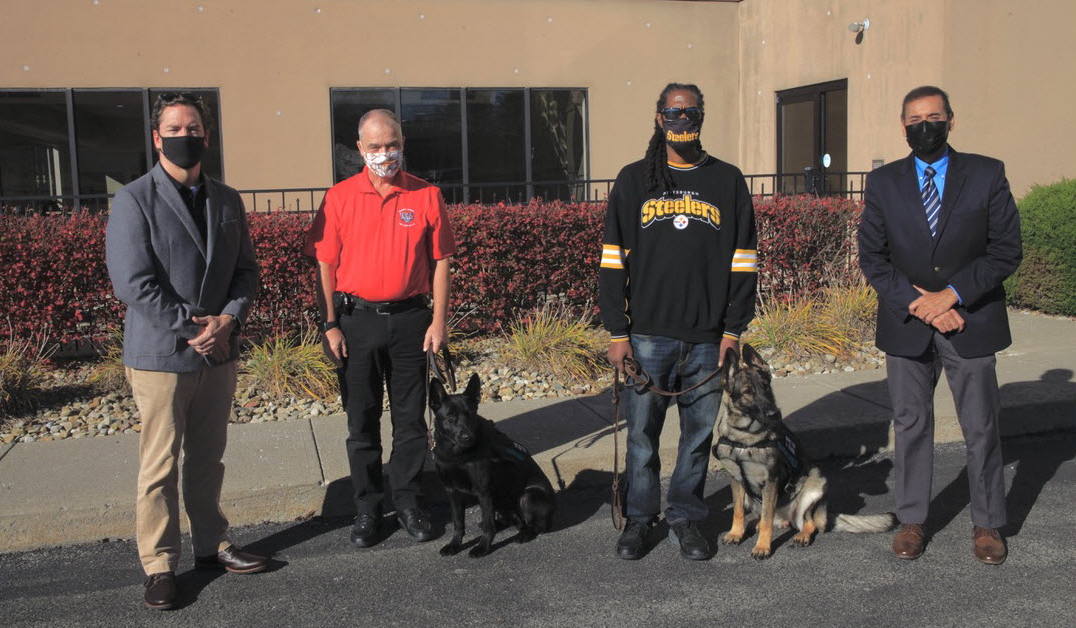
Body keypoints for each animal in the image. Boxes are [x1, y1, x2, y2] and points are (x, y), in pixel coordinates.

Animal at [423, 369, 555, 554]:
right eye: (450, 416)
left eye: (471, 414)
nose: (468, 437)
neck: (456, 454)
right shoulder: (452, 492)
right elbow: (458, 523)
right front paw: (455, 545)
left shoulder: (483, 491)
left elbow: (487, 524)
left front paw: (483, 547)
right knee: (508, 520)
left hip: (527, 496)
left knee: (535, 526)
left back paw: (523, 535)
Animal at [710, 344, 895, 559]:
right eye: (748, 391)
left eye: (766, 386)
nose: (775, 413)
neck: (745, 436)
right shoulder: (736, 480)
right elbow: (738, 511)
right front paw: (736, 533)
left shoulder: (771, 481)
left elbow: (767, 520)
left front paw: (762, 546)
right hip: (753, 498)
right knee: (763, 515)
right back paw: (756, 525)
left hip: (814, 484)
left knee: (807, 522)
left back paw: (802, 535)